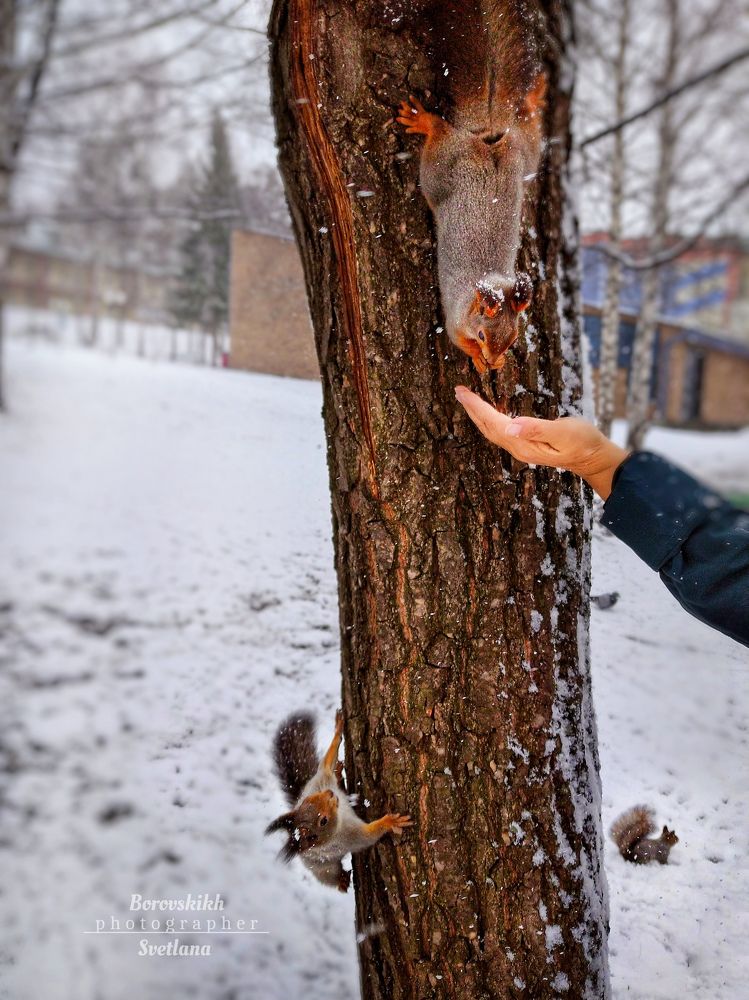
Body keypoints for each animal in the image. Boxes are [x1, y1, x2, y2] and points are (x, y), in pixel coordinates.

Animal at [265, 709, 412, 892]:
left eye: (310, 799)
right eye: (323, 821)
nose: (330, 793)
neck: (341, 813)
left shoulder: (321, 780)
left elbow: (327, 762)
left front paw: (338, 728)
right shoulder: (350, 836)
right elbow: (369, 835)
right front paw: (390, 821)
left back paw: (339, 773)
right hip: (322, 868)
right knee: (330, 877)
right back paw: (341, 881)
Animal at [396, 0, 547, 373]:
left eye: (512, 339)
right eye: (481, 335)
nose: (493, 365)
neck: (489, 282)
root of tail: (485, 140)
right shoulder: (454, 318)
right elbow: (456, 340)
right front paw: (477, 360)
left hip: (523, 155)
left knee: (526, 125)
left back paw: (533, 98)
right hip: (440, 169)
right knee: (439, 134)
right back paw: (424, 121)